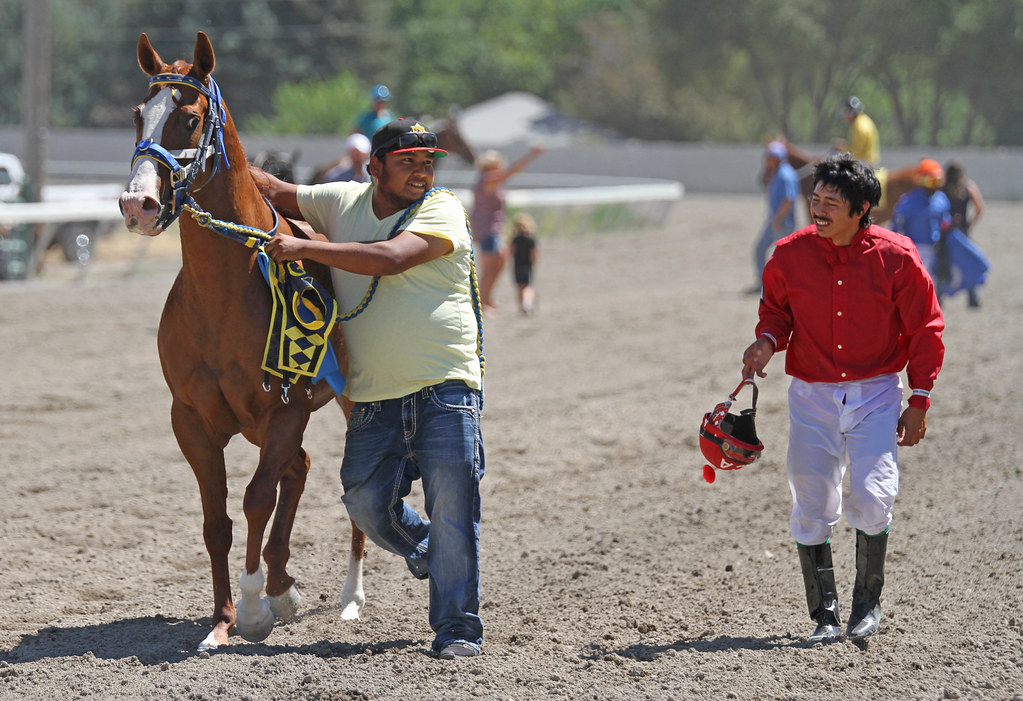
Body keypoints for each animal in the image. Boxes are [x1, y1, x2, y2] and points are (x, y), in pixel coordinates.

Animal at [118, 31, 365, 652]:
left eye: (188, 118)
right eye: (137, 115)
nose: (138, 204)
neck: (225, 296)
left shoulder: (283, 410)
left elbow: (257, 498)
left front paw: (253, 610)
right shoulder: (192, 420)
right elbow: (218, 521)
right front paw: (224, 620)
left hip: (351, 401)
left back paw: (350, 597)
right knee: (298, 469)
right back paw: (283, 583)